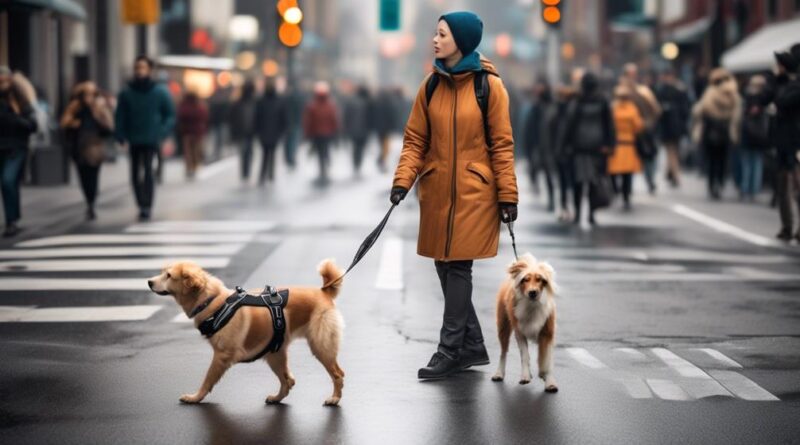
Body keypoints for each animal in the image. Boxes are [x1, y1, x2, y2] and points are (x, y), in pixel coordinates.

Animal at [490, 253, 560, 392]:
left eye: (540, 280)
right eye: (525, 280)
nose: (532, 292)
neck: (532, 305)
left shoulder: (547, 333)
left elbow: (546, 359)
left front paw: (549, 381)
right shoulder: (520, 332)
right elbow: (525, 355)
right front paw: (525, 376)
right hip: (503, 326)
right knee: (503, 352)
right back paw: (499, 373)